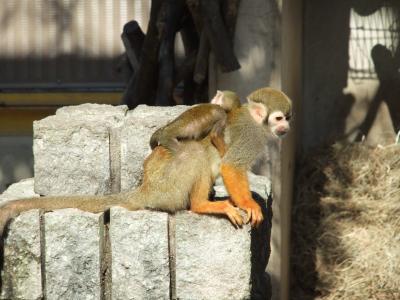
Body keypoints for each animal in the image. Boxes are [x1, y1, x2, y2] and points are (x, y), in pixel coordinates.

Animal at [0, 86, 294, 237]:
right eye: (280, 118)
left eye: (287, 119)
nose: (286, 128)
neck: (256, 121)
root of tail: (146, 189)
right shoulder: (252, 136)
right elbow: (230, 165)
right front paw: (249, 204)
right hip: (169, 187)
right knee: (195, 153)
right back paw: (202, 204)